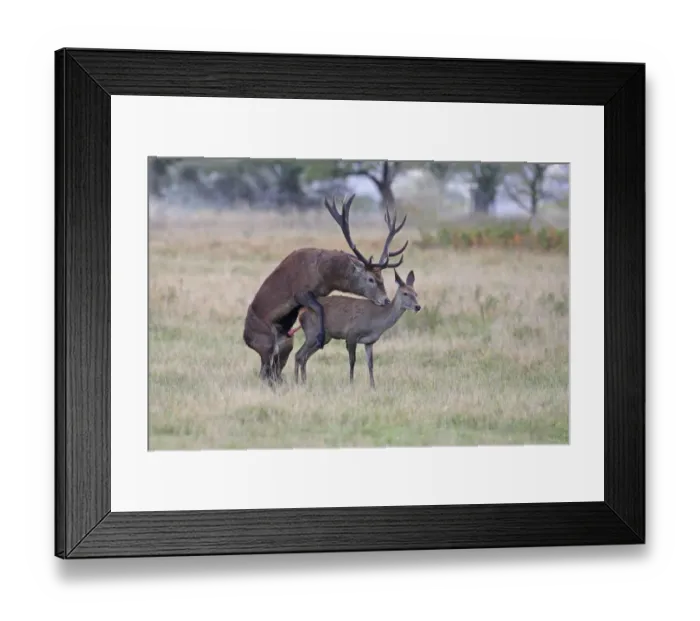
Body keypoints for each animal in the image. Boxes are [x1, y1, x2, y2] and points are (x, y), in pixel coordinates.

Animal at [242, 194, 409, 386]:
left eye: (382, 276)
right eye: (370, 279)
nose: (386, 300)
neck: (324, 274)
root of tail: (245, 337)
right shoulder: (301, 292)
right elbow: (320, 308)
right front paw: (321, 337)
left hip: (286, 344)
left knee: (274, 371)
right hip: (266, 342)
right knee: (264, 371)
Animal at [290, 269, 421, 389]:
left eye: (416, 293)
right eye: (405, 293)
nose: (418, 307)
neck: (376, 321)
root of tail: (301, 312)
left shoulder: (369, 342)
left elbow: (370, 363)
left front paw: (373, 386)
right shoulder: (352, 334)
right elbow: (352, 361)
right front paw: (351, 383)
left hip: (324, 338)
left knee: (304, 357)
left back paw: (304, 382)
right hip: (312, 332)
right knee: (299, 355)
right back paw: (297, 382)